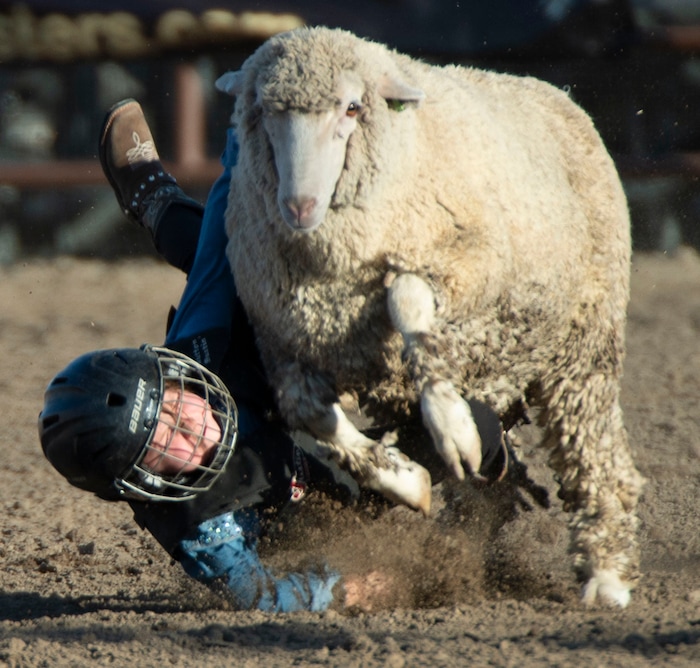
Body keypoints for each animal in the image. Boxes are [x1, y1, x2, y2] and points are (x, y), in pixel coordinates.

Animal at [215, 26, 645, 608]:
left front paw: (449, 424)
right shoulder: (285, 342)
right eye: (261, 110)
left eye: (352, 107)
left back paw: (607, 573)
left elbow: (407, 299)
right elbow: (308, 415)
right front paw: (402, 478)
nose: (299, 206)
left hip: (585, 341)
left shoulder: (467, 263)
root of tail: (556, 94)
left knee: (594, 449)